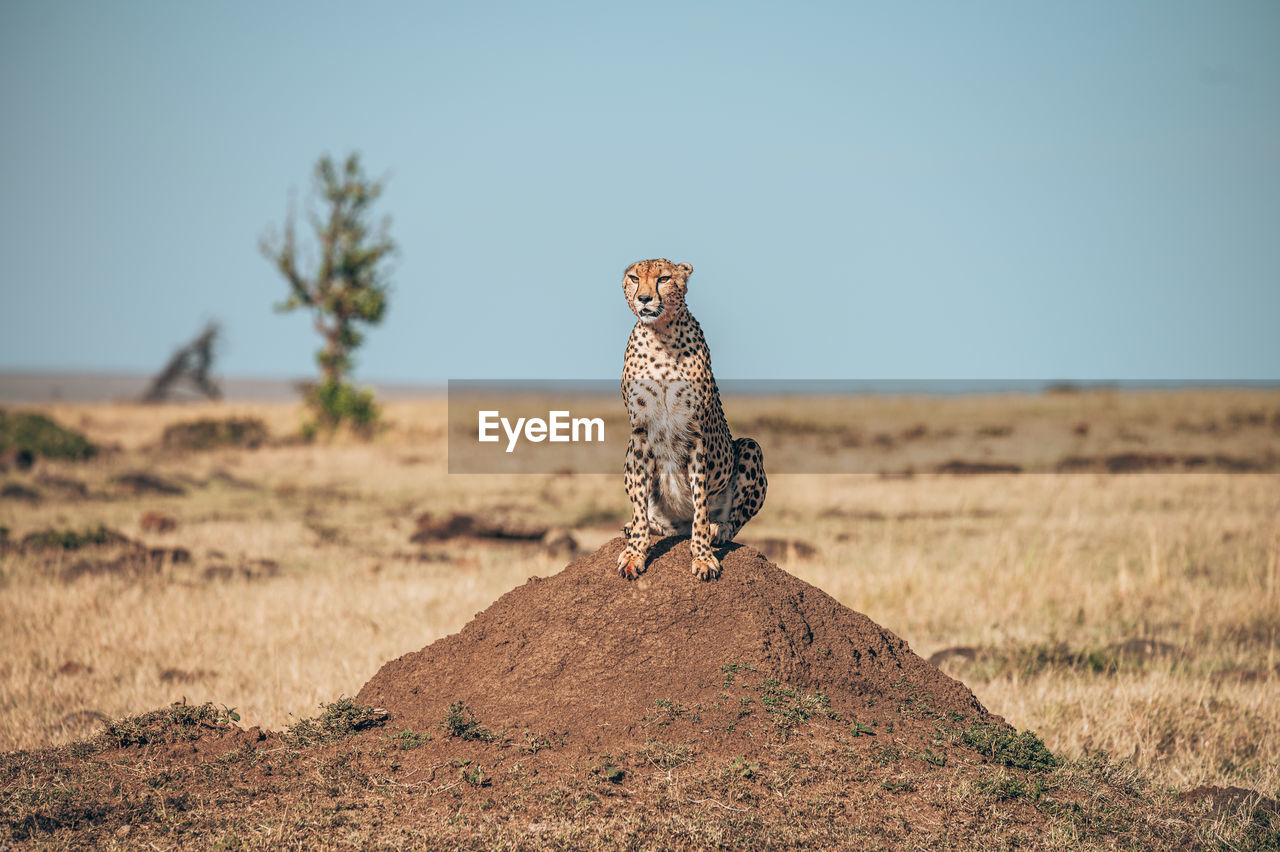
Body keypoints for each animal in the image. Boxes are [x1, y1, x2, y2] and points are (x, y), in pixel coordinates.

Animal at [614, 258, 762, 578]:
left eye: (664, 278)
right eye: (634, 278)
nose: (644, 298)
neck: (660, 336)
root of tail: (677, 525)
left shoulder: (695, 434)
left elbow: (701, 505)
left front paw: (703, 556)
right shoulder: (640, 432)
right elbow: (639, 499)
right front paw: (635, 552)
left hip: (750, 447)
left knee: (731, 520)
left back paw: (718, 529)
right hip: (630, 451)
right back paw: (647, 526)